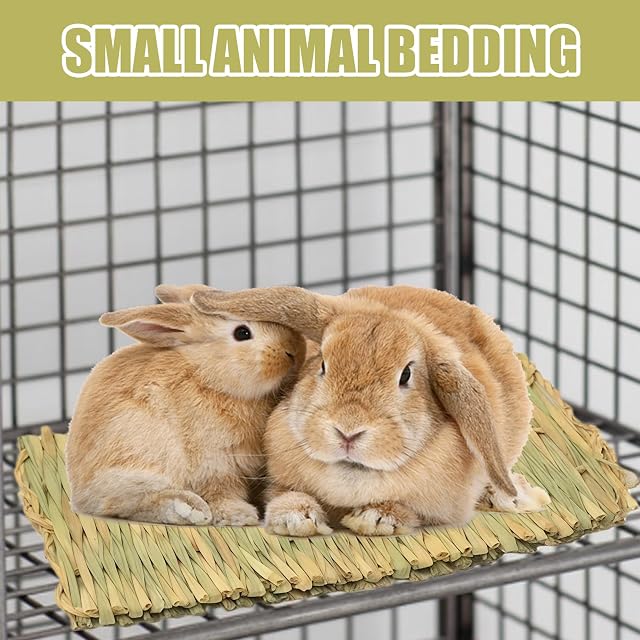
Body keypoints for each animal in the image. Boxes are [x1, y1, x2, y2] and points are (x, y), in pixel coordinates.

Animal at [65, 284, 306, 526]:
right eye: (242, 333)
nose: (293, 351)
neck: (207, 377)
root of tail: (79, 492)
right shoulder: (215, 462)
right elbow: (221, 491)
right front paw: (238, 515)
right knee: (124, 503)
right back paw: (187, 509)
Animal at [189, 284, 551, 536]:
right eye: (322, 364)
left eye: (406, 376)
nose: (348, 431)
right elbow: (284, 495)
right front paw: (296, 518)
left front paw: (375, 519)